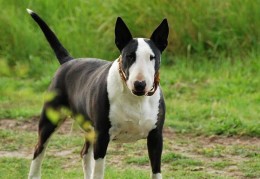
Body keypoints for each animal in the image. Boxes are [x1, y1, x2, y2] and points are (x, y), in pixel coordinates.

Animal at [26, 8, 169, 179]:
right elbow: (99, 171)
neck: (135, 99)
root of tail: (68, 61)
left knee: (84, 153)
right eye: (129, 56)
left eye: (152, 57)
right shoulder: (102, 137)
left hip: (89, 128)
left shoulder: (156, 137)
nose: (140, 84)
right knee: (38, 149)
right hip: (50, 119)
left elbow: (156, 171)